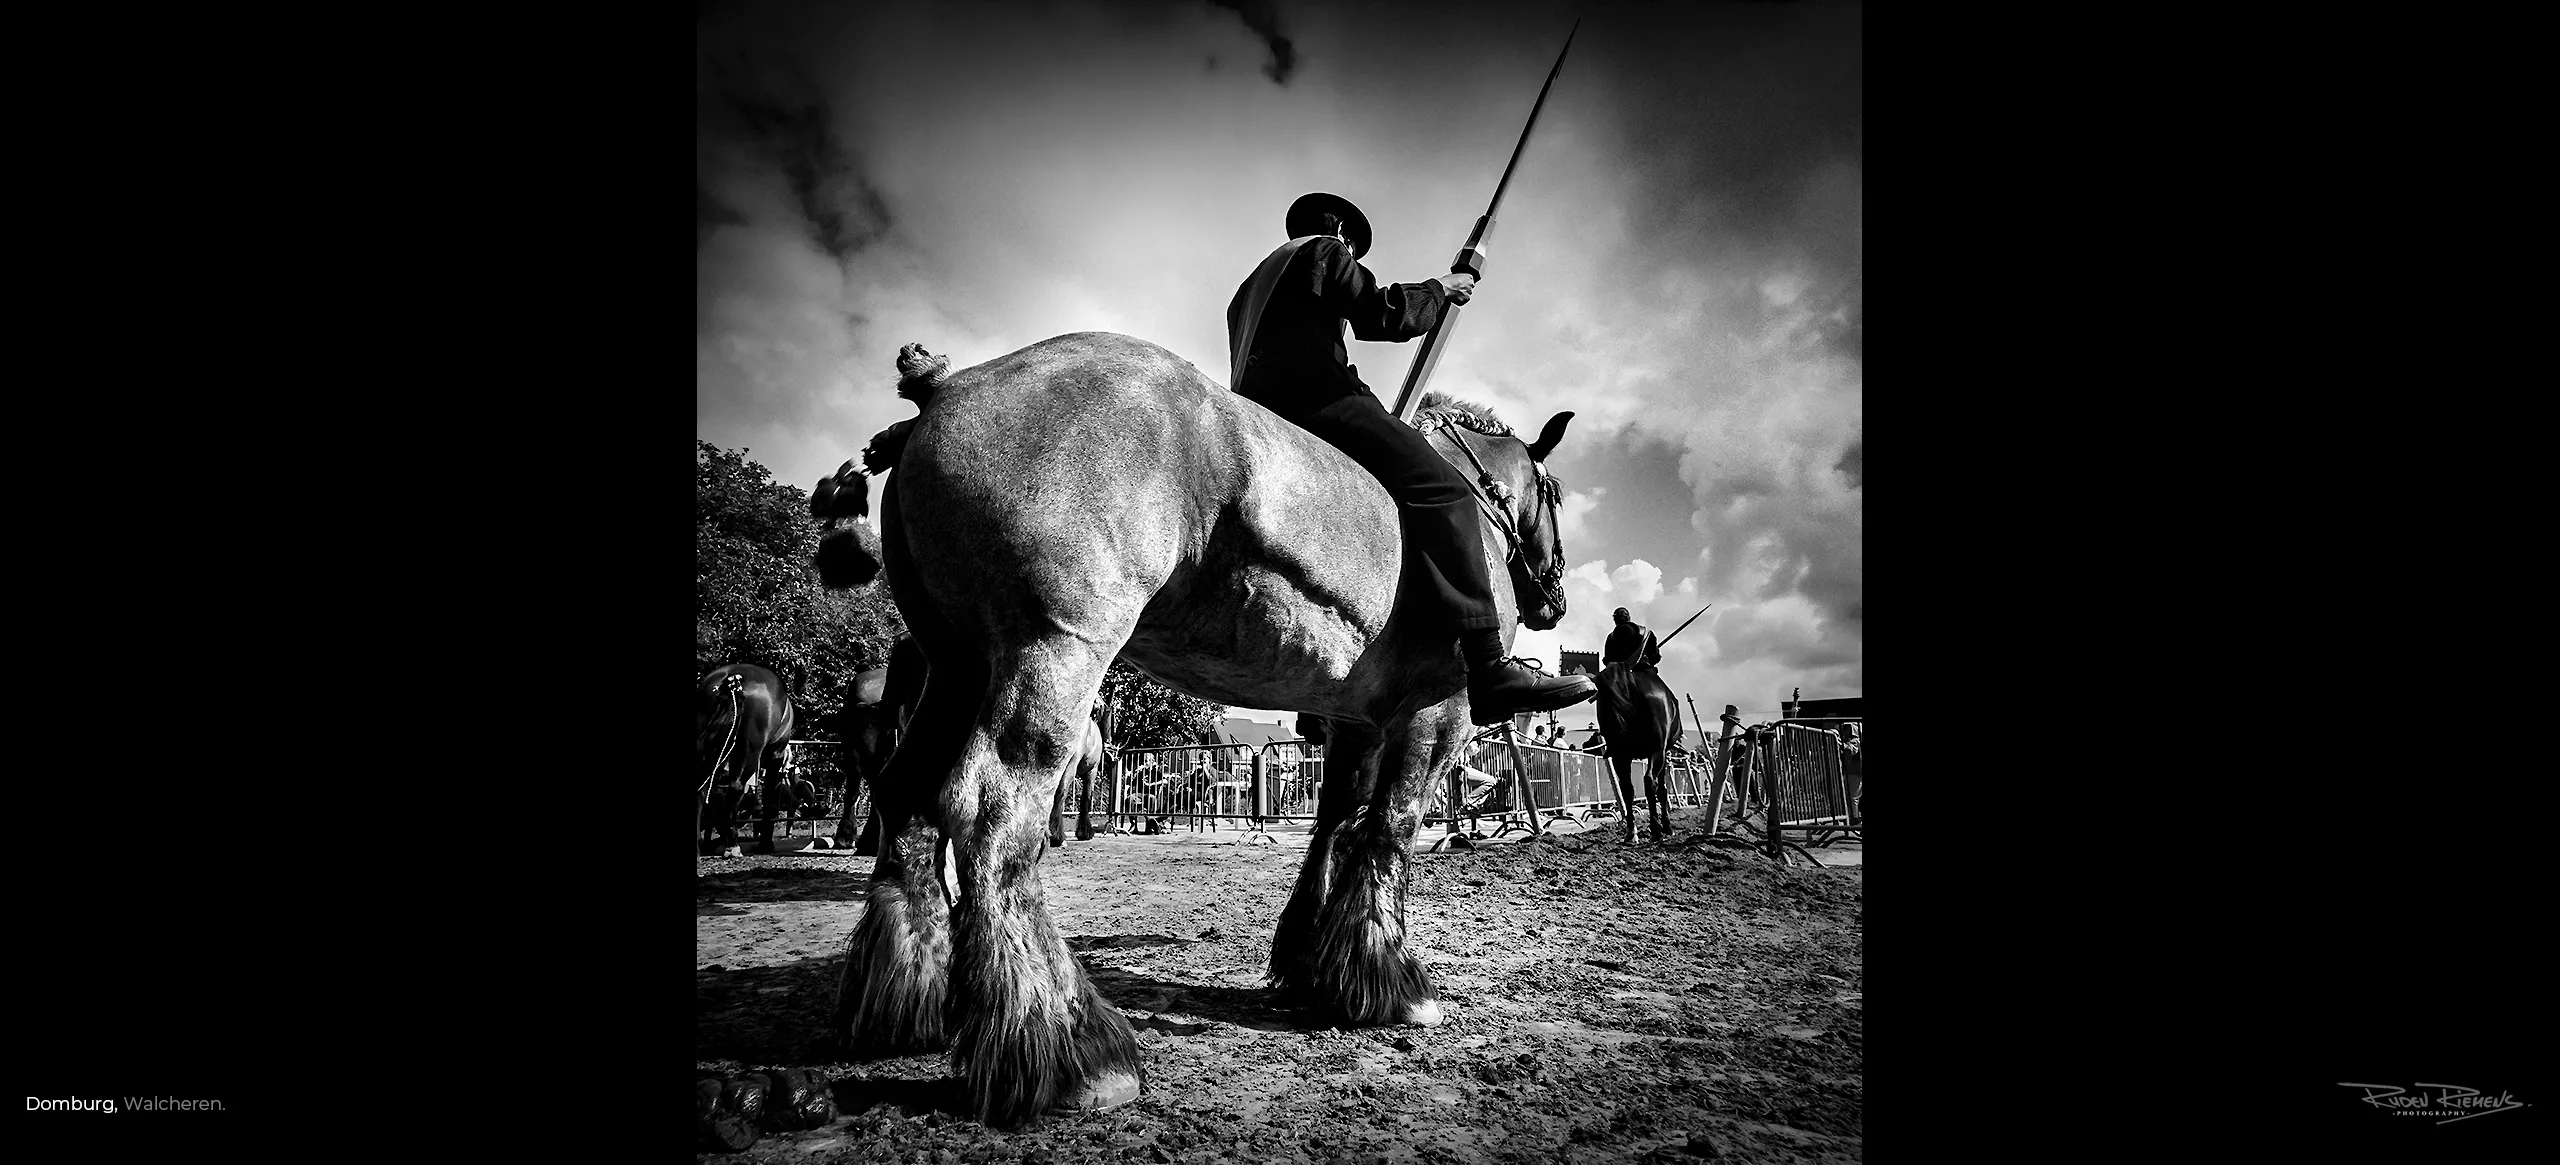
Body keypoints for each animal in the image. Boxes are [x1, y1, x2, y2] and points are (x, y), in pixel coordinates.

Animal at [803, 330, 1576, 1131]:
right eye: (1555, 494)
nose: (1554, 595)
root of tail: (946, 388)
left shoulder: (1353, 718)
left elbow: (1335, 822)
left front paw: (1312, 962)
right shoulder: (1435, 711)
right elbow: (1389, 830)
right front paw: (1389, 979)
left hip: (955, 663)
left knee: (909, 798)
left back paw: (907, 999)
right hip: (1053, 649)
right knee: (993, 817)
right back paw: (1064, 1042)